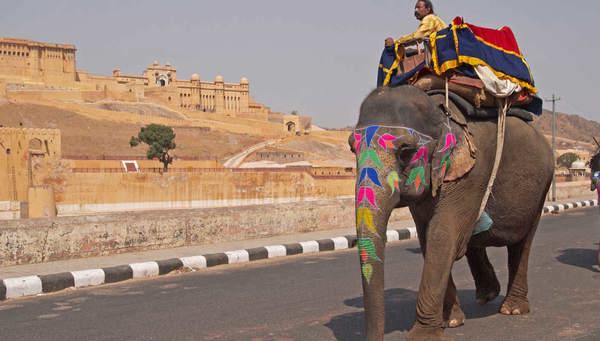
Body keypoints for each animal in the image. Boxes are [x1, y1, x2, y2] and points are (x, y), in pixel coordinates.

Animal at [352, 85, 552, 340]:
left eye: (406, 152)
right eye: (352, 148)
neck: (439, 113)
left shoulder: (471, 173)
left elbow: (442, 235)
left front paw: (423, 336)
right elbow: (428, 238)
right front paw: (452, 321)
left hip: (542, 187)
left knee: (522, 243)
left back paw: (512, 309)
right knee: (472, 237)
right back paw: (488, 294)